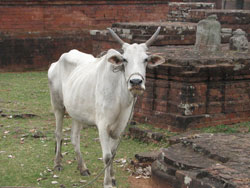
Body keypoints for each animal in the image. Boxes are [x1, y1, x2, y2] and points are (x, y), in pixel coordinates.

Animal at [47, 26, 165, 188]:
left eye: (145, 59)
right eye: (125, 60)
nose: (136, 82)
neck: (120, 97)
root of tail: (57, 61)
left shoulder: (121, 126)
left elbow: (113, 153)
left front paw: (113, 178)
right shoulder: (103, 125)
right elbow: (107, 156)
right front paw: (108, 183)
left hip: (77, 112)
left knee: (74, 138)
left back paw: (82, 168)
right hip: (57, 105)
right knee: (58, 134)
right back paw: (57, 164)